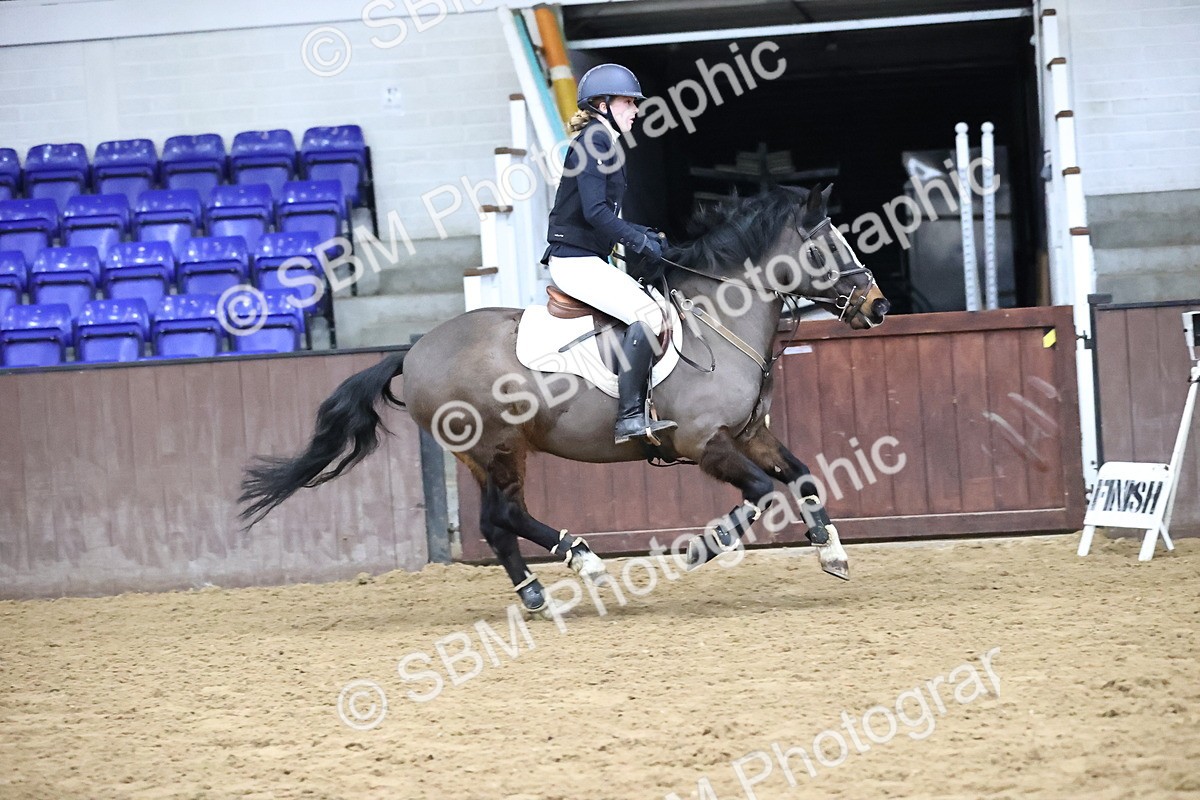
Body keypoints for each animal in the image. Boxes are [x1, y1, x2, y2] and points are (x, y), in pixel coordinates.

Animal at [239, 184, 890, 614]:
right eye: (824, 248)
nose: (877, 306)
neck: (721, 317)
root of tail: (415, 348)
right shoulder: (704, 443)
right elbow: (759, 493)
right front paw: (706, 547)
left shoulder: (751, 433)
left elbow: (802, 476)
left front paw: (831, 552)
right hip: (496, 446)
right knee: (501, 518)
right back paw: (571, 570)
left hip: (497, 453)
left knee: (501, 521)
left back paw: (552, 582)